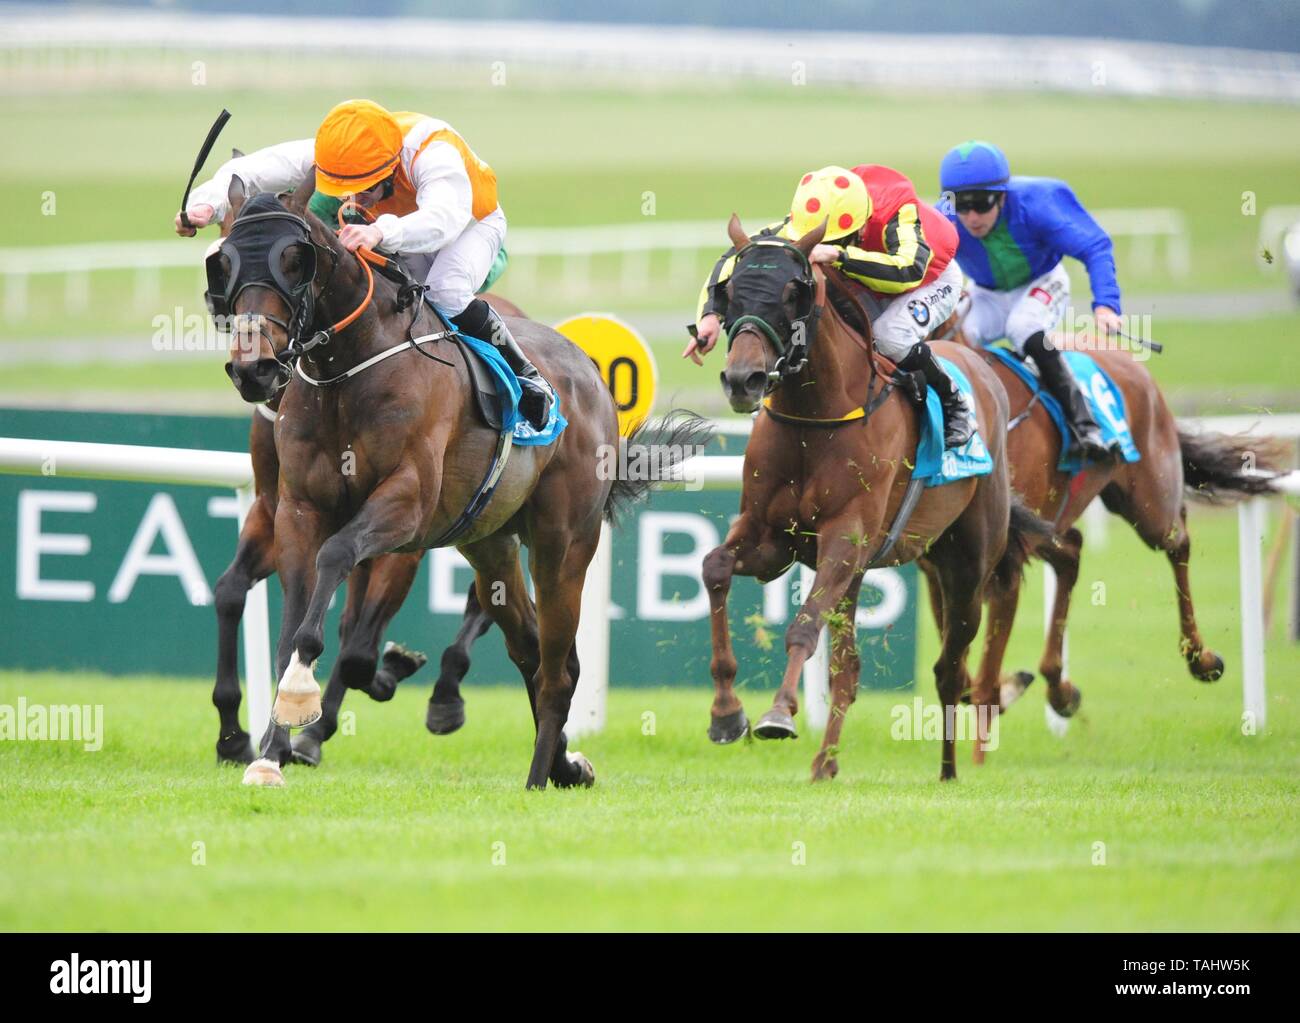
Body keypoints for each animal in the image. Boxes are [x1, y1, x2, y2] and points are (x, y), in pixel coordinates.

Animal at [215, 170, 712, 790]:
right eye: (223, 260)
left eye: (293, 259)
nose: (253, 368)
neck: (348, 372)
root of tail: (591, 372)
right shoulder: (295, 508)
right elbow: (286, 621)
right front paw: (267, 749)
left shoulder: (406, 510)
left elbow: (336, 566)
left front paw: (305, 700)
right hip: (490, 544)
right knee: (530, 648)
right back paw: (564, 763)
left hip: (563, 543)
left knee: (558, 665)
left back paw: (536, 774)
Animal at [702, 211, 1045, 779]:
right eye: (729, 291)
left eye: (794, 292)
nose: (742, 379)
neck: (816, 416)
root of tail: (980, 365)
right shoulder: (773, 539)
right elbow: (715, 568)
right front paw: (727, 714)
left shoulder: (846, 537)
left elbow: (803, 627)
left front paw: (779, 713)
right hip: (868, 572)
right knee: (850, 669)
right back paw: (825, 764)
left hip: (965, 567)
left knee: (951, 669)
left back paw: (949, 770)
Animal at [930, 305, 1284, 753]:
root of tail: (1134, 365)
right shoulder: (942, 559)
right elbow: (954, 647)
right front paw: (1003, 689)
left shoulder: (1001, 553)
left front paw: (995, 695)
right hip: (1053, 521)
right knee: (1072, 551)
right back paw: (1059, 687)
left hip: (1147, 502)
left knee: (1178, 540)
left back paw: (1200, 658)